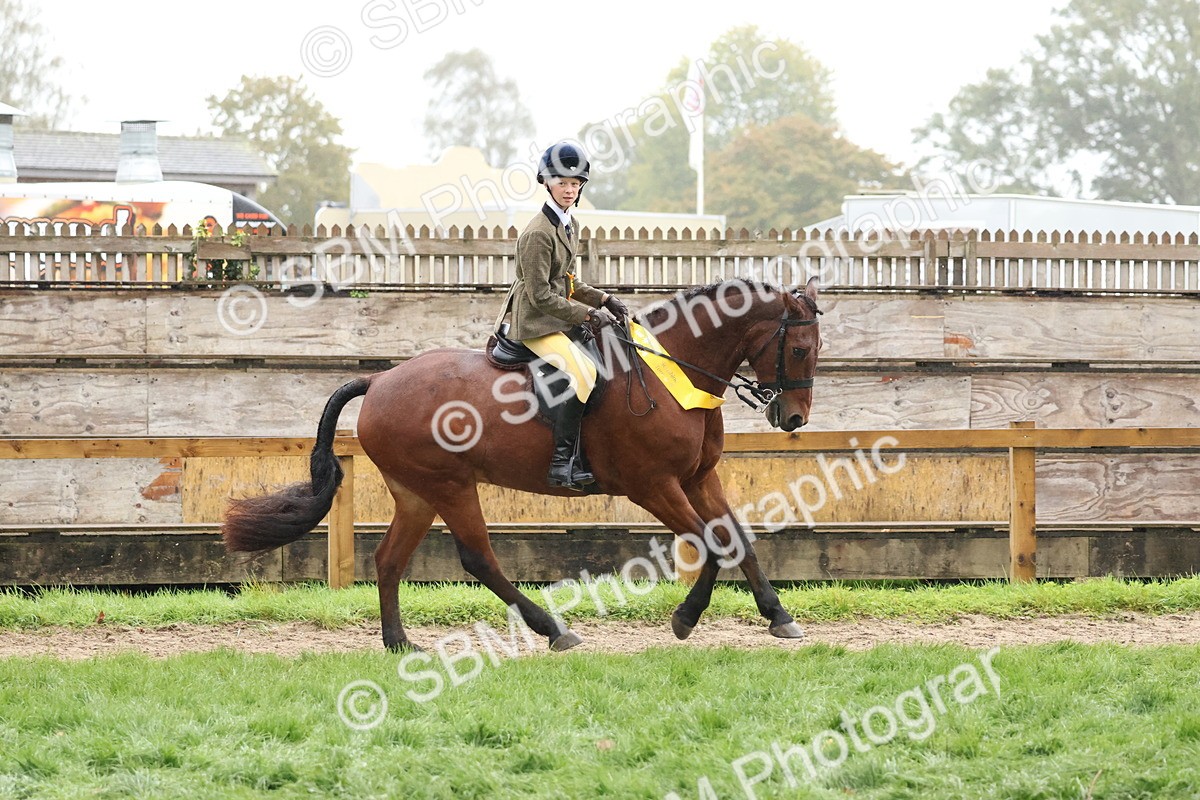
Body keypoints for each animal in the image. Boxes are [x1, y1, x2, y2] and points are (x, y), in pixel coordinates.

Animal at [222, 277, 823, 652]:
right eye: (798, 349)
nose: (793, 417)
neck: (669, 370)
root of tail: (380, 380)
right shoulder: (653, 486)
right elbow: (713, 544)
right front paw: (684, 619)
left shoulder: (698, 478)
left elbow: (738, 539)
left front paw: (779, 617)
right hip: (451, 486)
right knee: (478, 559)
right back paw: (553, 630)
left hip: (417, 493)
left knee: (390, 559)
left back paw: (399, 643)